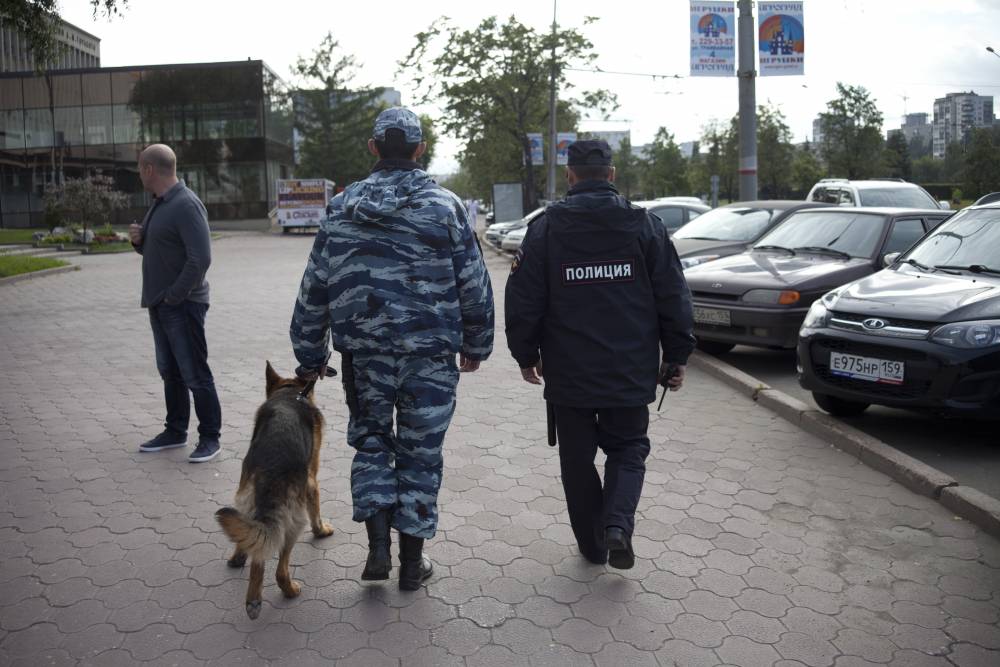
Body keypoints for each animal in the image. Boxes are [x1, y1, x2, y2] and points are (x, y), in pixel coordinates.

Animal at [213, 362, 334, 620]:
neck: (290, 392)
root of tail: (272, 469)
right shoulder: (312, 481)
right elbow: (316, 512)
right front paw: (321, 531)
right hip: (293, 522)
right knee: (279, 567)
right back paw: (287, 590)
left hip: (245, 501)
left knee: (253, 543)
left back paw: (243, 572)